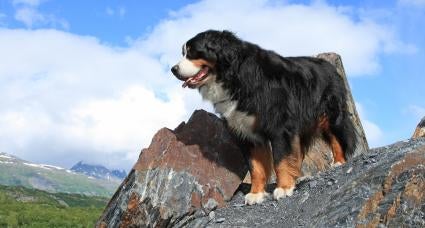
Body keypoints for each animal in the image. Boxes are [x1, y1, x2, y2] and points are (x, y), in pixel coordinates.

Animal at [171, 29, 356, 206]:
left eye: (192, 52)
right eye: (183, 53)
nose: (173, 69)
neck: (234, 77)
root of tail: (329, 65)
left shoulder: (279, 126)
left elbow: (280, 160)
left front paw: (284, 188)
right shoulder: (246, 132)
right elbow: (256, 167)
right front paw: (256, 194)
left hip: (330, 115)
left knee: (337, 138)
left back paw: (338, 162)